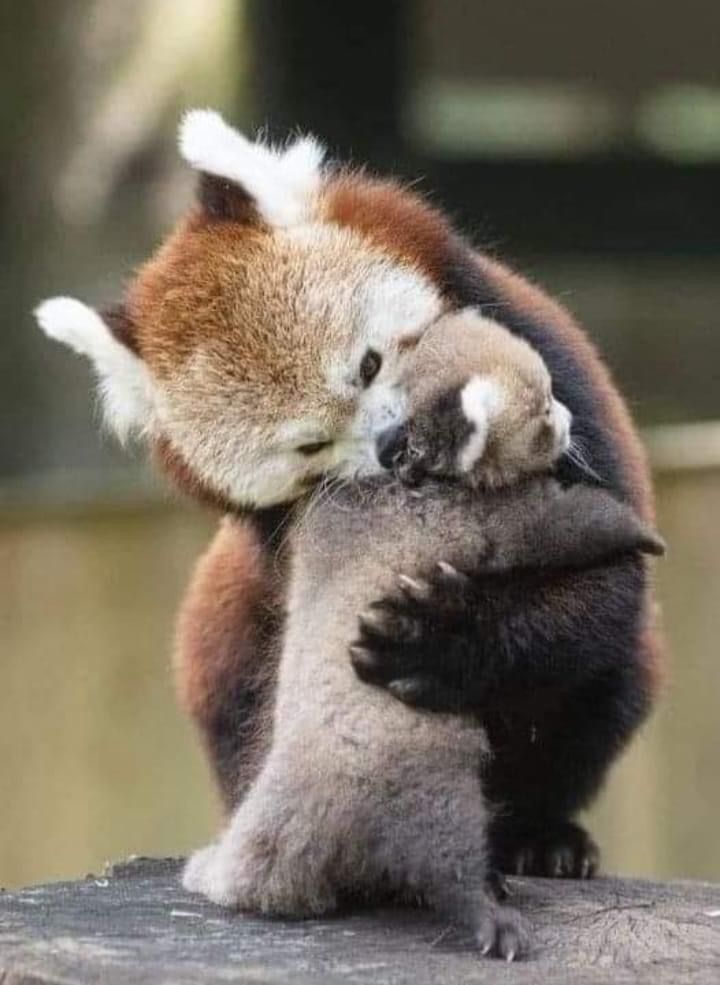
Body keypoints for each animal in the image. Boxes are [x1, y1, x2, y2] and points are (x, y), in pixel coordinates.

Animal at [36, 107, 660, 876]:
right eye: (308, 445)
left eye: (368, 364)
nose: (394, 446)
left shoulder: (545, 365)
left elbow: (607, 573)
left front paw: (440, 639)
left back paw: (538, 834)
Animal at [181, 316, 664, 960]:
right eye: (541, 406)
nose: (568, 419)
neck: (401, 466)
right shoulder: (480, 512)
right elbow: (567, 521)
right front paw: (639, 532)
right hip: (431, 788)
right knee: (447, 860)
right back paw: (490, 912)